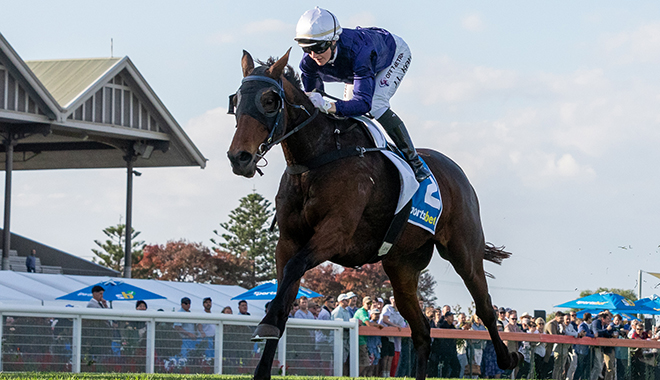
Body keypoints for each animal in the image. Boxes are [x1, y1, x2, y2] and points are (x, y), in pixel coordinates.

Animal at [227, 50, 520, 380]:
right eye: (236, 100)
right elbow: (285, 294)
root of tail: (458, 174)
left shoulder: (335, 235)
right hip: (402, 266)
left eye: (269, 100)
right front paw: (263, 359)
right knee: (422, 330)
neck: (315, 160)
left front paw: (265, 323)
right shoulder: (288, 241)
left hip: (464, 251)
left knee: (485, 307)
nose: (239, 157)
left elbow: (294, 269)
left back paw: (508, 358)